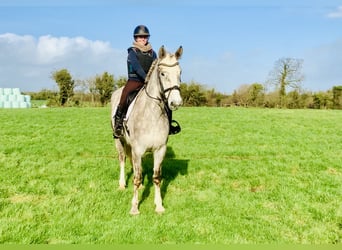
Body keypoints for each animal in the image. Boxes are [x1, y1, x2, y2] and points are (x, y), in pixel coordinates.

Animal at [111, 45, 183, 215]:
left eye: (180, 72)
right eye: (162, 73)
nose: (176, 102)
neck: (152, 113)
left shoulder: (160, 149)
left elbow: (156, 177)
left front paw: (159, 206)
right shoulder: (137, 149)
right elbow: (136, 178)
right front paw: (134, 207)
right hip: (119, 141)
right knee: (122, 159)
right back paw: (122, 184)